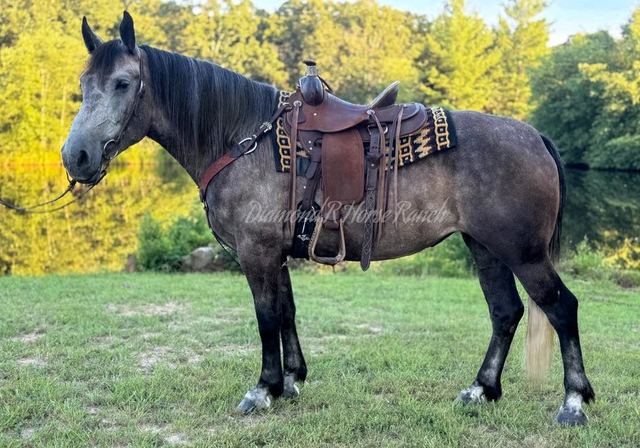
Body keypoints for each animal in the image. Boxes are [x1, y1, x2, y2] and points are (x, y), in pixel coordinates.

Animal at [61, 12, 594, 425]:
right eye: (84, 84)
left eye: (122, 84)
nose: (76, 156)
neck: (242, 138)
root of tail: (535, 136)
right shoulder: (276, 253)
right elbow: (287, 311)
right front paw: (293, 380)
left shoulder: (257, 253)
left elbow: (265, 317)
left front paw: (264, 388)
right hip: (485, 248)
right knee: (506, 313)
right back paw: (481, 389)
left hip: (523, 253)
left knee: (561, 308)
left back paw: (573, 402)